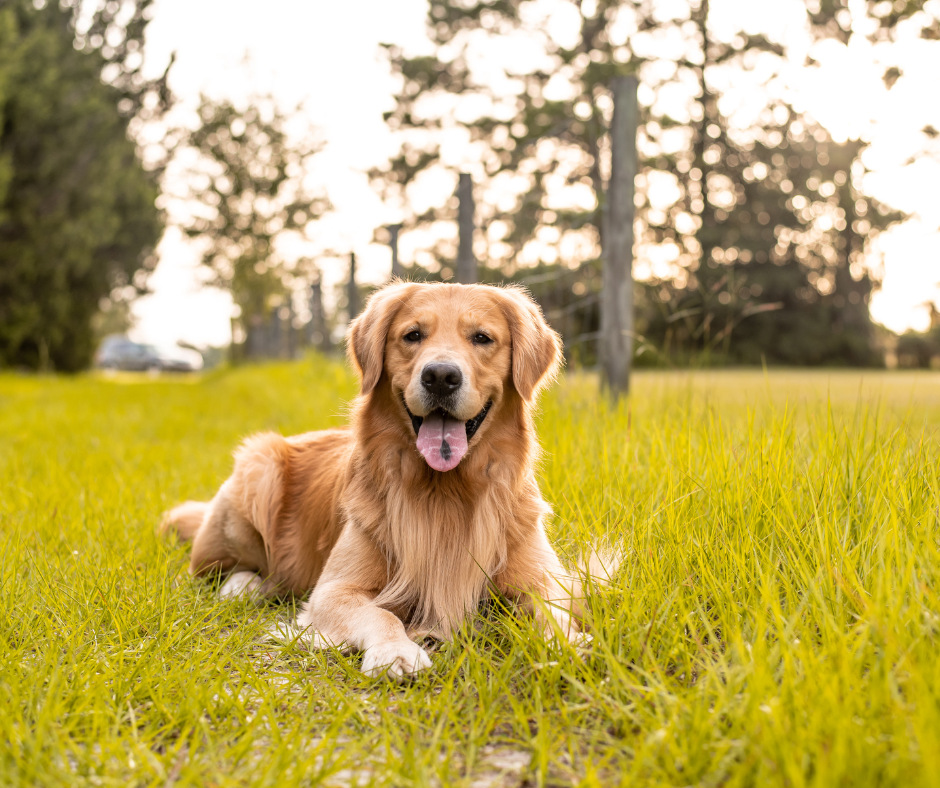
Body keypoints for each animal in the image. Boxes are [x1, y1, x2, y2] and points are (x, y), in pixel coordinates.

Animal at [162, 282, 600, 676]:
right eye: (413, 335)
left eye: (482, 338)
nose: (441, 376)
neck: (445, 491)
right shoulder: (334, 590)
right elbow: (380, 615)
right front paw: (396, 651)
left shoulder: (544, 580)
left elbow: (554, 612)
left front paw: (569, 644)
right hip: (259, 467)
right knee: (218, 570)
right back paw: (244, 587)